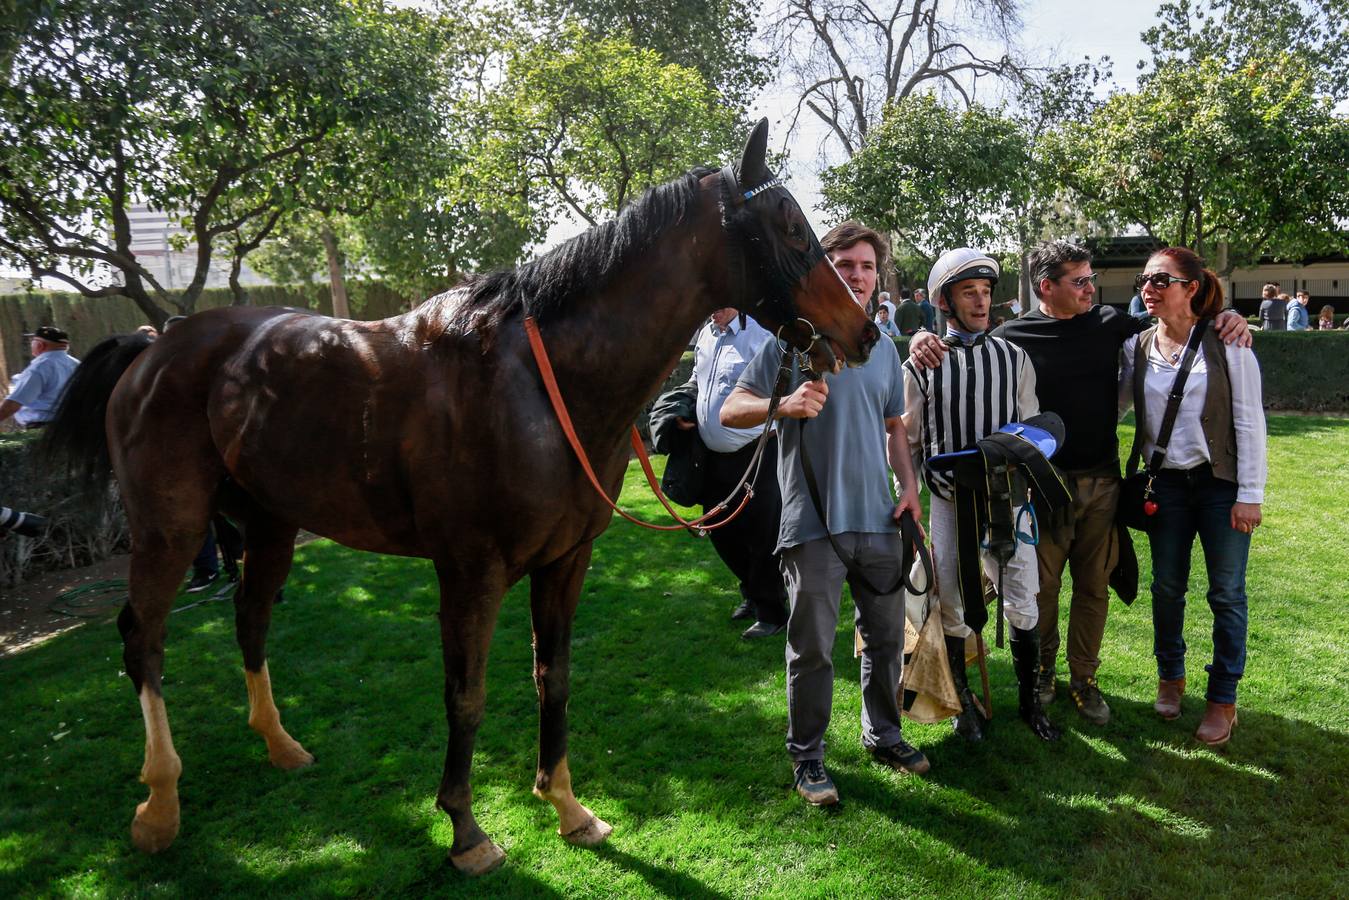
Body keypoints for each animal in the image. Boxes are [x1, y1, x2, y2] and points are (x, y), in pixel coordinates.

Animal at [42, 119, 879, 874]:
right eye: (789, 227)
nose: (864, 331)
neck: (541, 384)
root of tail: (157, 343)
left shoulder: (566, 563)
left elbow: (553, 678)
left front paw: (567, 806)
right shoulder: (470, 573)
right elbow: (466, 696)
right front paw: (467, 831)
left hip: (270, 524)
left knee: (250, 620)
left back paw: (279, 744)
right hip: (171, 526)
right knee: (143, 638)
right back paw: (159, 804)